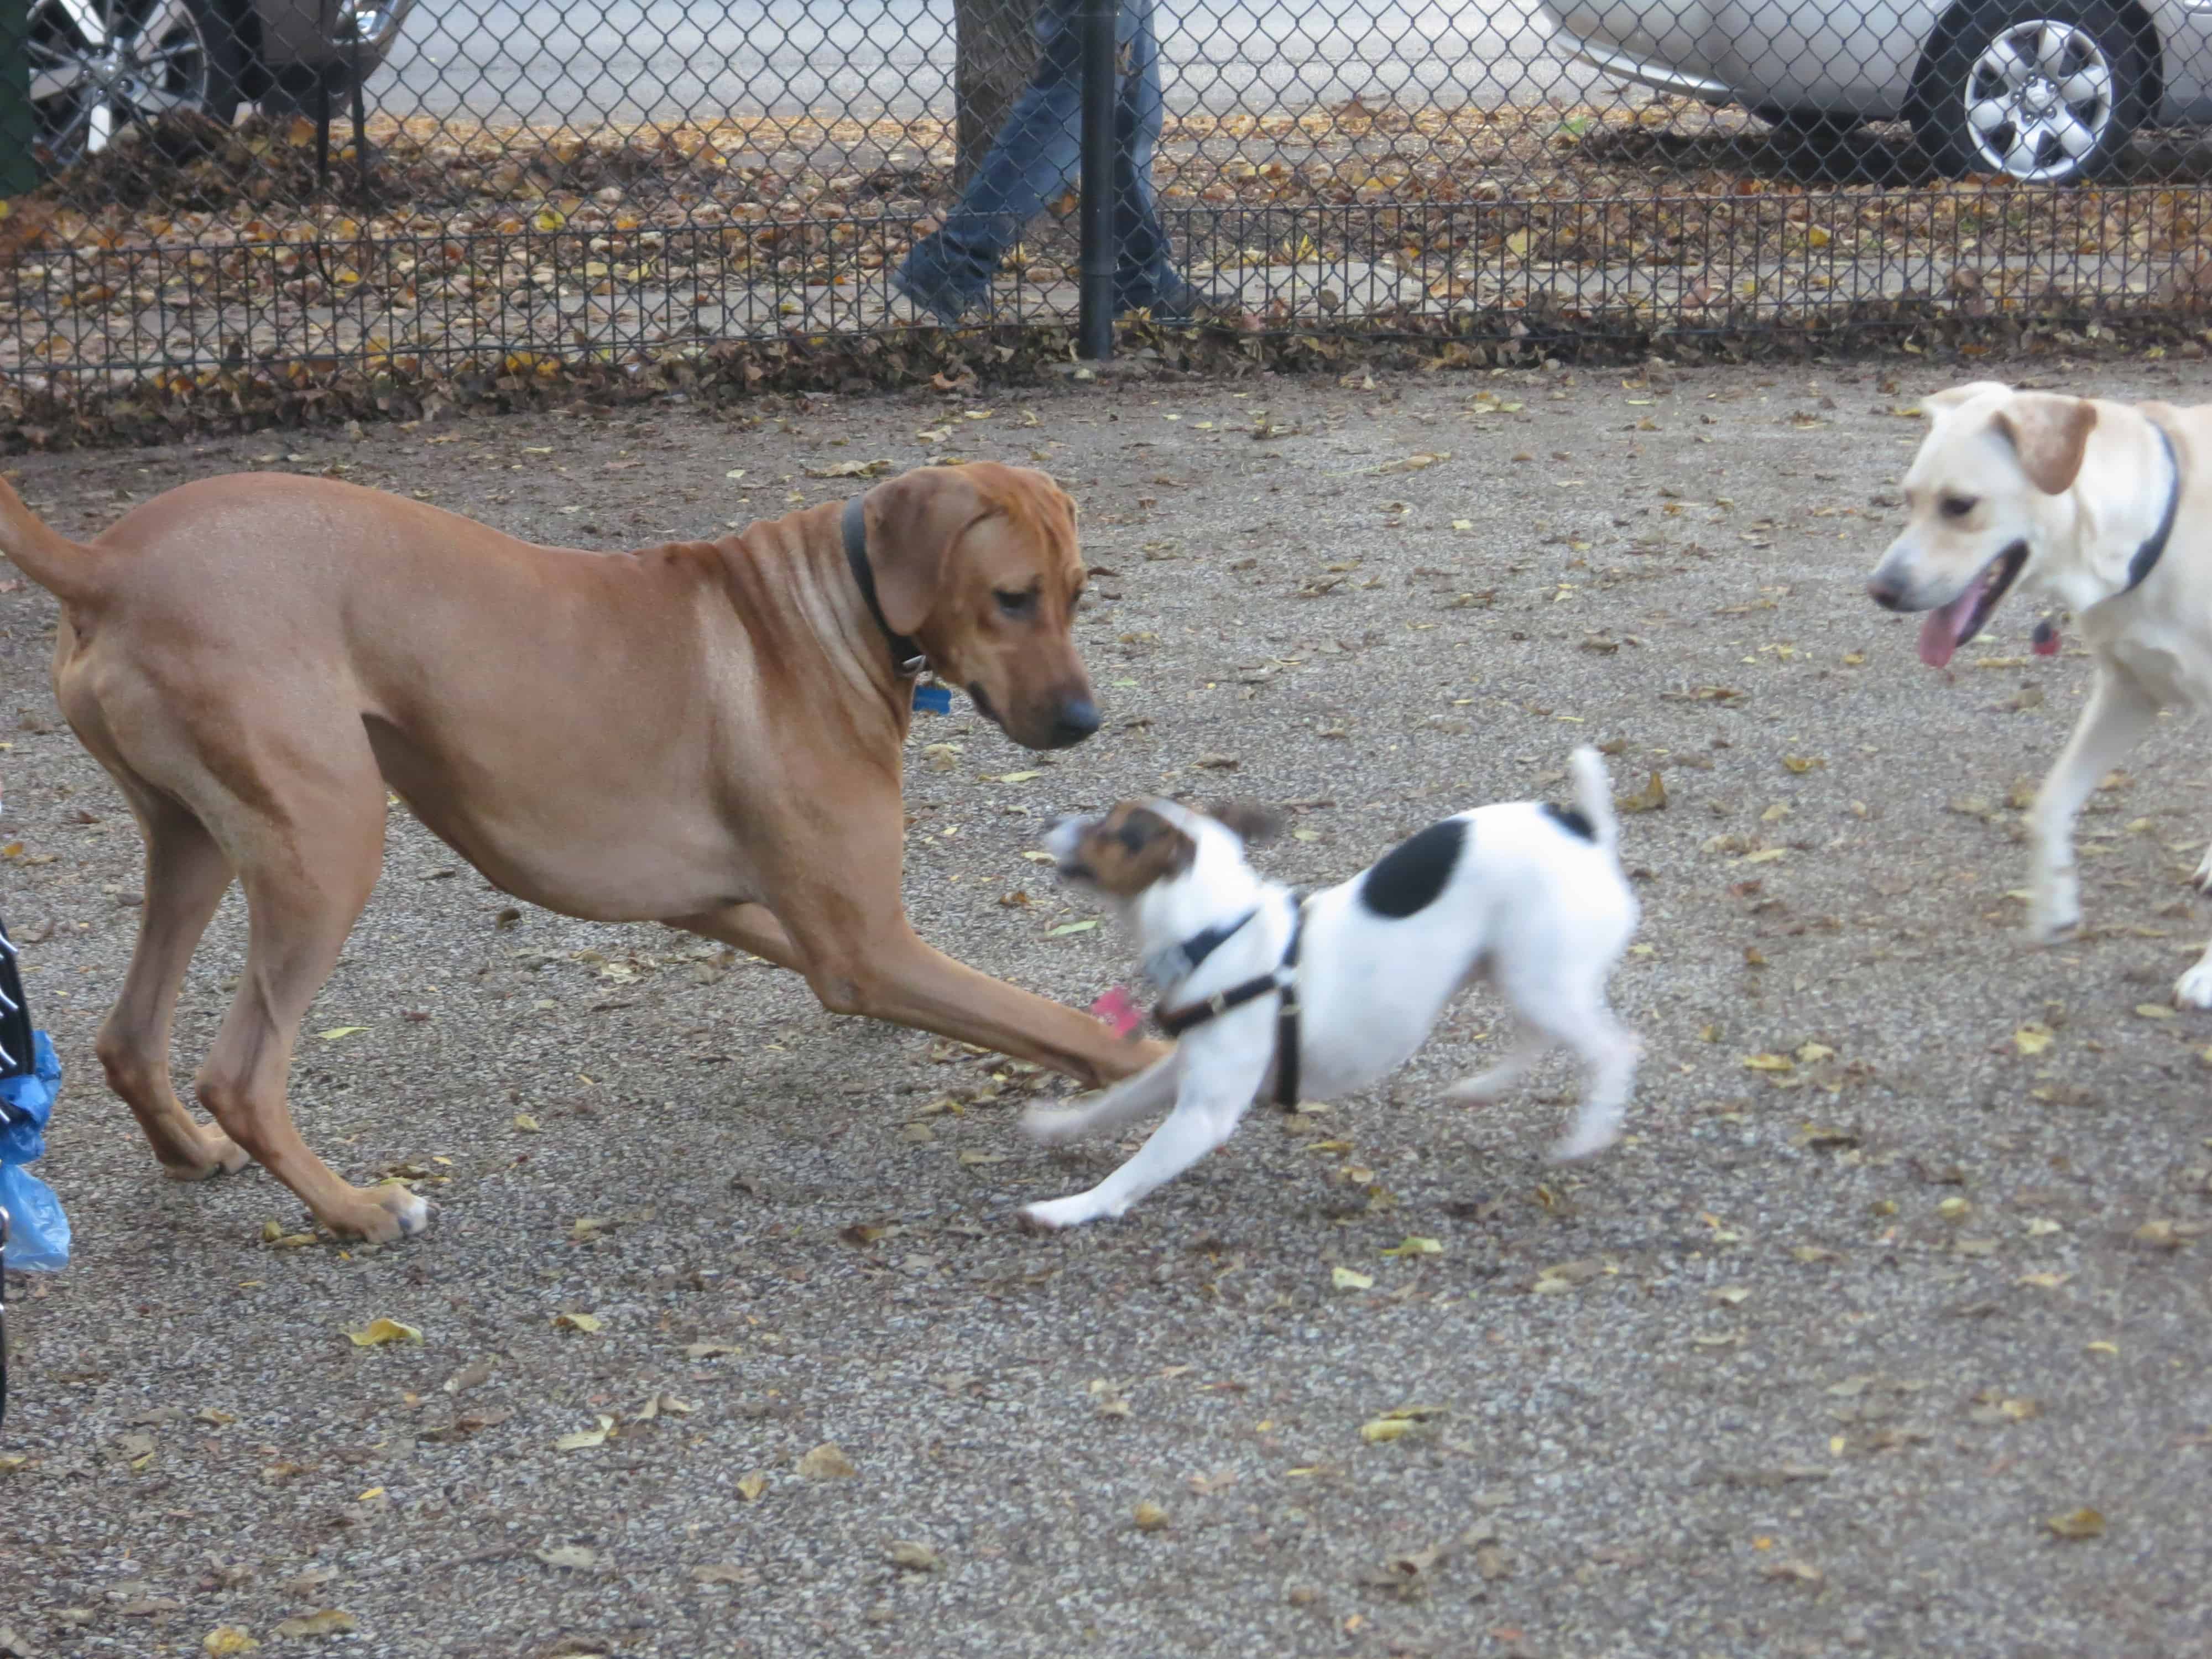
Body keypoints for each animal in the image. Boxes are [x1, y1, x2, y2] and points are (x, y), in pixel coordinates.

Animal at [0, 462, 1168, 1239]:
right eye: (1011, 598)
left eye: (1080, 594)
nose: (1084, 723)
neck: (829, 604)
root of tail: (104, 563)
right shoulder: (867, 945)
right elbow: (1062, 1023)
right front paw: (1163, 1070)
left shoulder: (749, 910)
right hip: (327, 844)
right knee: (240, 1073)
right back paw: (356, 1211)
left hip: (192, 847)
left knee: (129, 1036)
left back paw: (191, 1155)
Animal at [1022, 752, 1646, 1239]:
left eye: (1110, 829)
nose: (1051, 818)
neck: (1221, 930)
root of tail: (1586, 830)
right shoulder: (1182, 1072)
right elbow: (1113, 1103)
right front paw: (1058, 1125)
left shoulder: (1204, 1115)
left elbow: (1131, 1172)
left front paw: (1071, 1208)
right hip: (1513, 973)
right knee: (1536, 1035)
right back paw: (1481, 1088)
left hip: (1541, 982)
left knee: (1614, 1049)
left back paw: (1587, 1136)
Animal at [1867, 383, 2212, 1009]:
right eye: (1908, 499)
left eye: (1959, 505)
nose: (1878, 590)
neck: (2159, 526)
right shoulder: (2125, 694)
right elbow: (2048, 805)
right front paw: (2055, 905)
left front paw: (2207, 973)